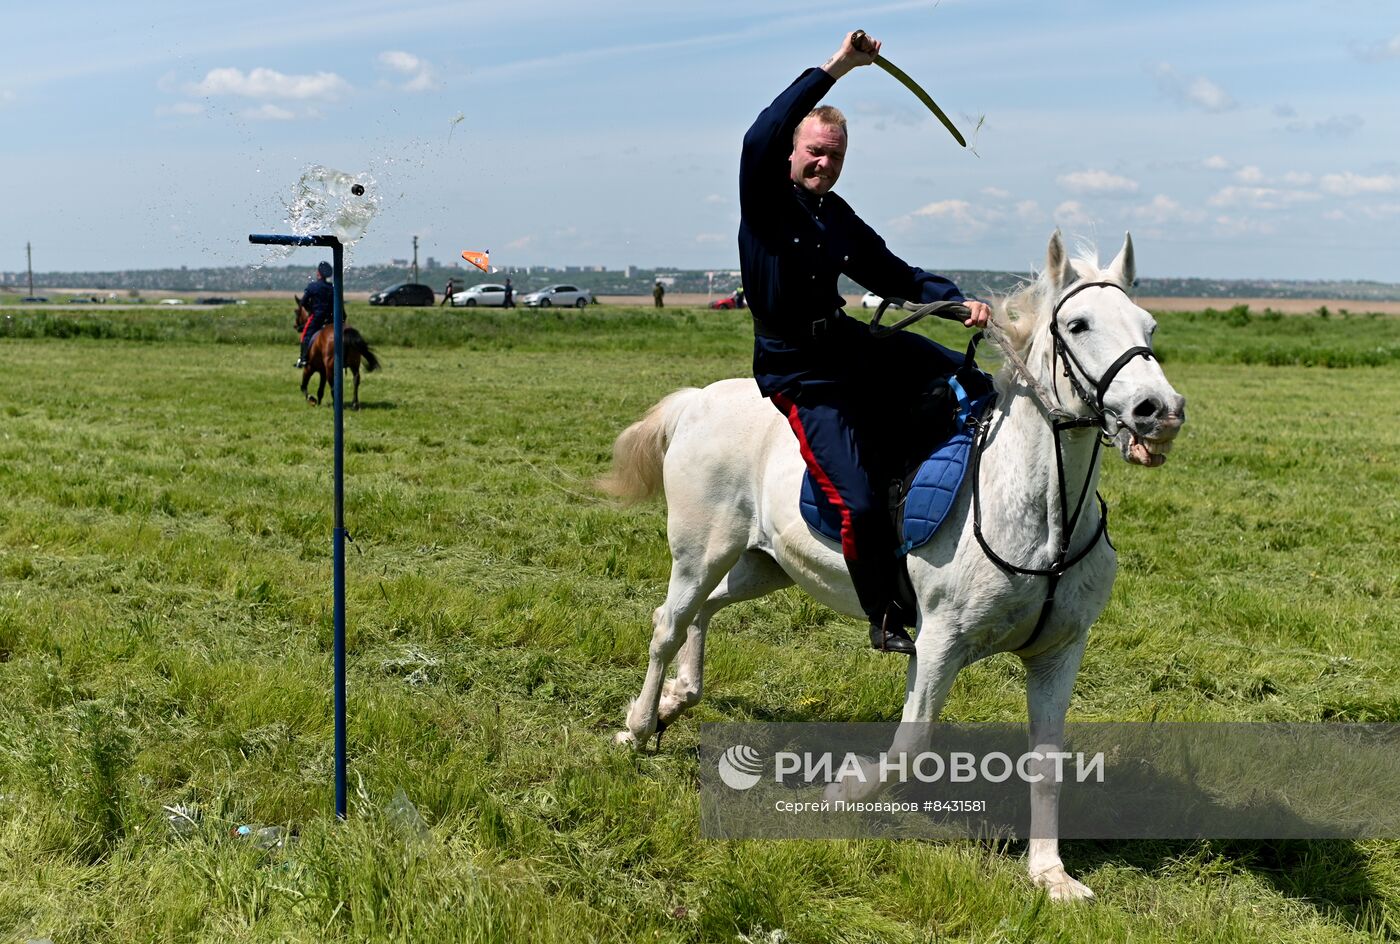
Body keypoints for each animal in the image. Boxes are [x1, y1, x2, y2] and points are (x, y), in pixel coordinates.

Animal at [602, 233, 1181, 896]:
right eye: (1079, 325)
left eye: (1149, 325)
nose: (1159, 412)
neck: (1041, 516)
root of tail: (699, 401)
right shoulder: (938, 643)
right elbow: (912, 743)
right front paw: (843, 790)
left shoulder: (1058, 652)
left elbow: (1047, 761)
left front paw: (1050, 875)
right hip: (700, 551)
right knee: (668, 623)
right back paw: (638, 725)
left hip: (761, 564)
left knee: (706, 611)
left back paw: (678, 699)